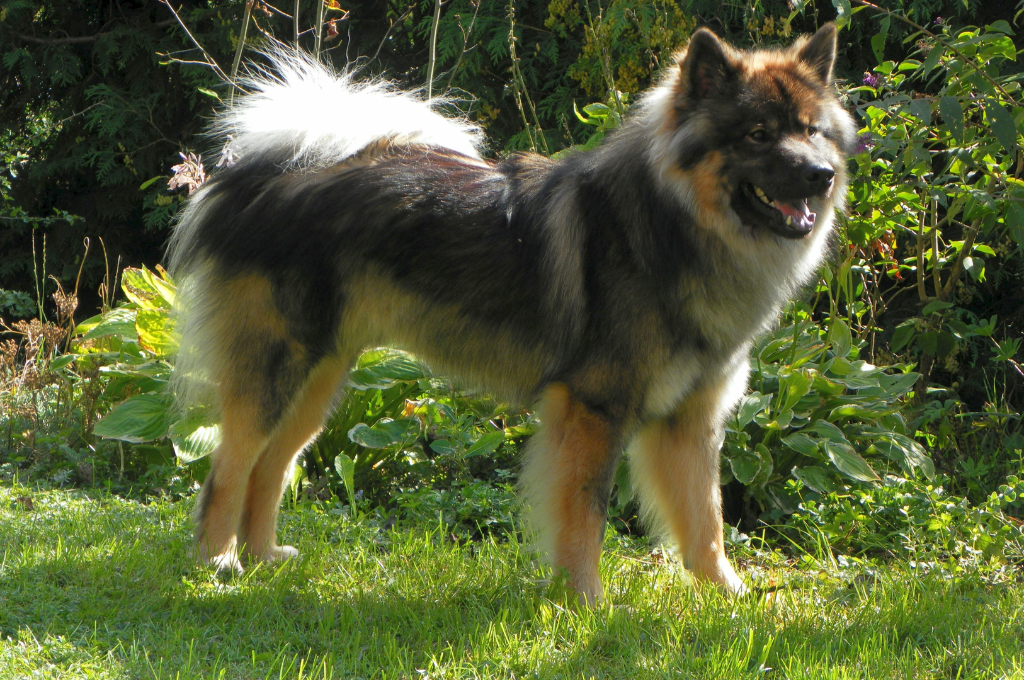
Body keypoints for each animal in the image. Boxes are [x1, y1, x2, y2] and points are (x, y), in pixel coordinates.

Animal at [168, 23, 855, 603]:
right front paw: (584, 600)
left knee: (271, 465)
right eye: (758, 134)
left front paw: (730, 598)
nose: (821, 176)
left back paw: (261, 558)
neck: (672, 227)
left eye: (811, 131)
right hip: (277, 372)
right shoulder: (595, 409)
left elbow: (705, 520)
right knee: (228, 468)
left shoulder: (691, 420)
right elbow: (586, 514)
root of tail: (264, 179)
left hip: (321, 380)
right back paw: (216, 566)